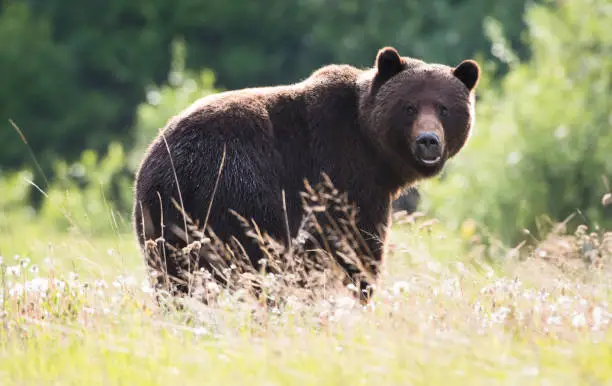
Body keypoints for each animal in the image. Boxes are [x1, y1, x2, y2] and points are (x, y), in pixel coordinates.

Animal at [133, 46, 478, 304]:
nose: (428, 141)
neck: (374, 151)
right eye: (409, 107)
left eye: (444, 108)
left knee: (175, 277)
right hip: (235, 194)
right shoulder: (342, 175)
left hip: (162, 220)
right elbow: (357, 247)